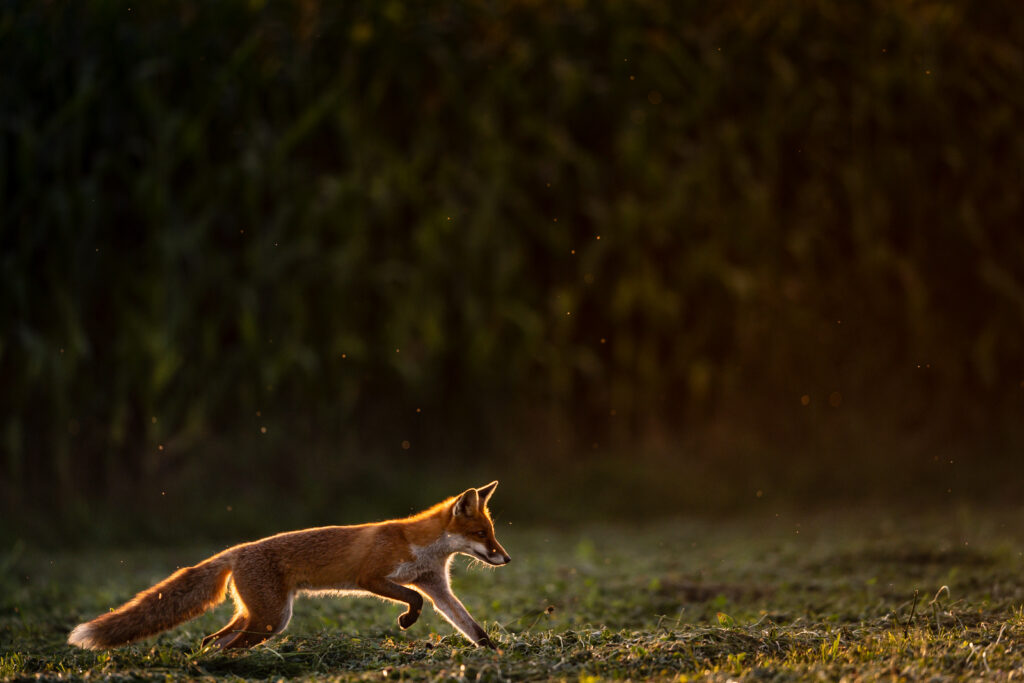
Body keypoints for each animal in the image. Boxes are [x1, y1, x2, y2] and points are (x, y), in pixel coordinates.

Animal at [68, 481, 511, 650]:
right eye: (483, 535)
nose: (505, 558)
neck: (420, 545)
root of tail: (236, 550)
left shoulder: (436, 585)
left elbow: (470, 625)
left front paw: (496, 653)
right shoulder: (372, 576)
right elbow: (410, 599)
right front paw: (406, 621)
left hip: (259, 615)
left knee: (213, 639)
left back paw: (207, 662)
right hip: (271, 619)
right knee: (227, 643)